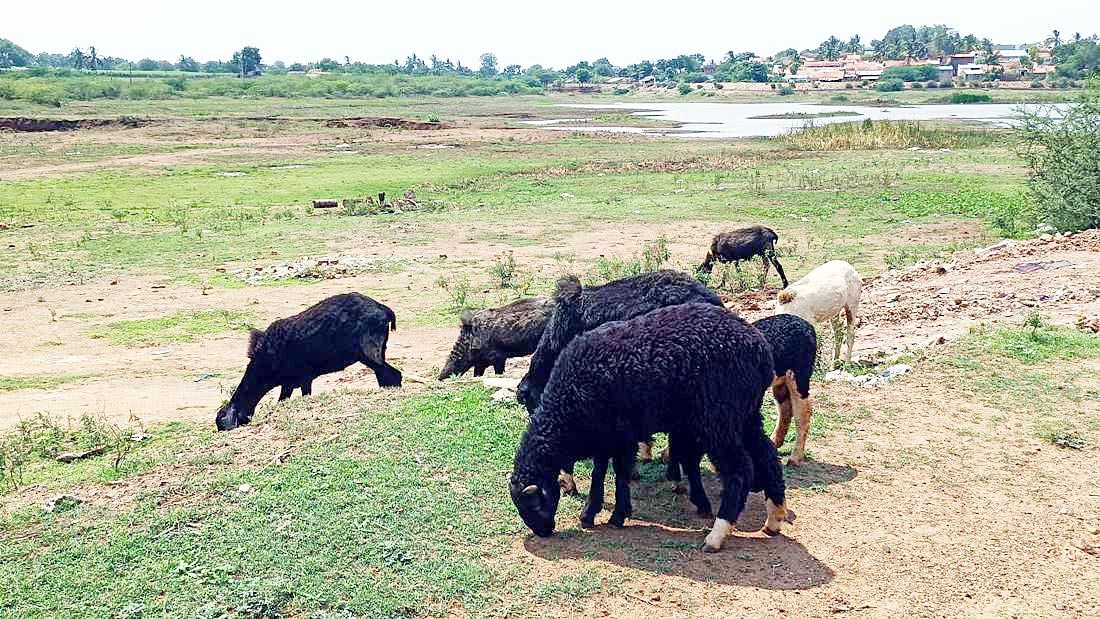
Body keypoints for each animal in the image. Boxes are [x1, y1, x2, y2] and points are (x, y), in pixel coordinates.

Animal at [213, 294, 400, 430]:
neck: (265, 359)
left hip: (369, 353)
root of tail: (385, 311)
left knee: (394, 374)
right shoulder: (290, 383)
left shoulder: (302, 378)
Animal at [510, 303, 787, 554]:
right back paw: (774, 518)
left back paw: (716, 536)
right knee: (768, 455)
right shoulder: (605, 435)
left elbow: (620, 473)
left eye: (534, 505)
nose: (543, 531)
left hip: (719, 418)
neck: (566, 407)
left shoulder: (622, 435)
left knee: (739, 470)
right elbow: (599, 472)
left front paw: (617, 516)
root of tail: (761, 351)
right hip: (745, 415)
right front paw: (590, 513)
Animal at [756, 314, 818, 466]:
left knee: (803, 413)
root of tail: (807, 325)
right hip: (780, 381)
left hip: (799, 377)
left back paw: (795, 458)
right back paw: (774, 442)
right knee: (785, 409)